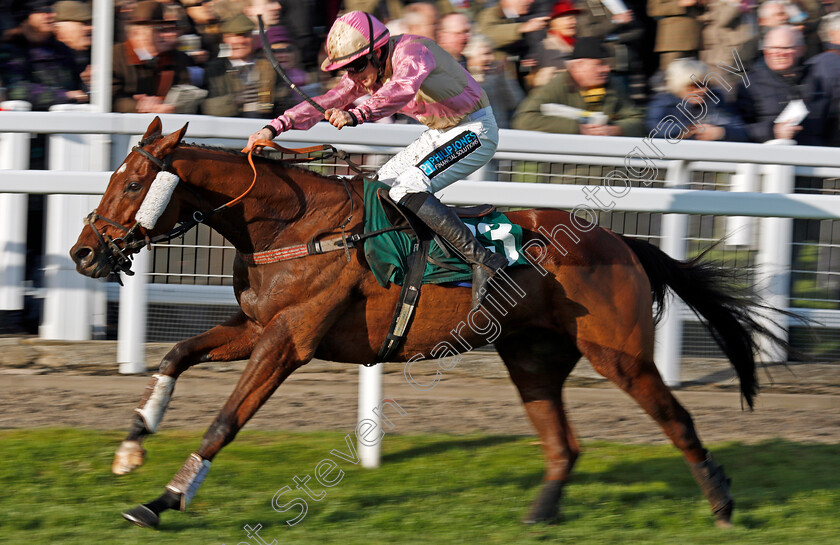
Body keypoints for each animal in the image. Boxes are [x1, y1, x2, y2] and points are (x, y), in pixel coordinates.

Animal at [72, 117, 780, 528]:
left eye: (132, 183)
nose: (82, 252)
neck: (295, 227)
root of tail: (623, 242)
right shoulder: (255, 327)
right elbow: (177, 354)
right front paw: (133, 444)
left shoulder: (288, 341)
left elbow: (225, 420)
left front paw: (165, 499)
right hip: (532, 358)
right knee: (563, 444)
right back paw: (540, 515)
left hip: (621, 355)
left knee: (676, 420)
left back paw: (722, 504)